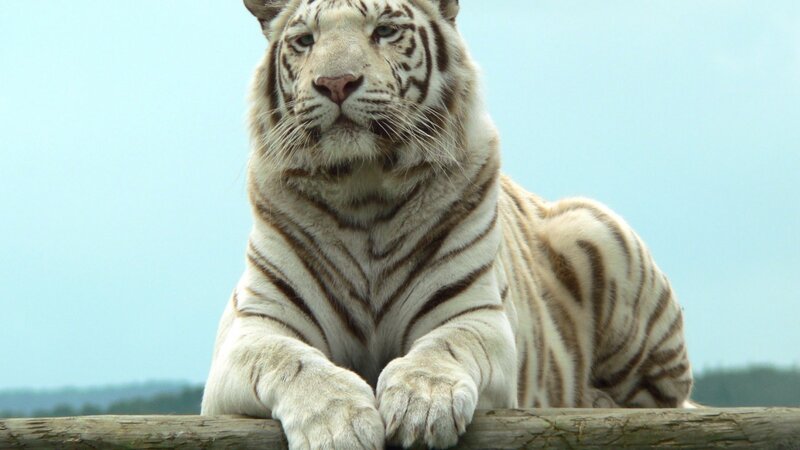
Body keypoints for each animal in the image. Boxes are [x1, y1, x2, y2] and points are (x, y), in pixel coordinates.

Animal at [200, 0, 695, 448]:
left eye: (384, 31)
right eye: (305, 40)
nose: (336, 83)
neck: (363, 190)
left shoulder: (475, 314)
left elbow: (446, 347)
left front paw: (421, 406)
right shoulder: (253, 329)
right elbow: (291, 360)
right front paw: (339, 424)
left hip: (595, 231)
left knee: (661, 400)